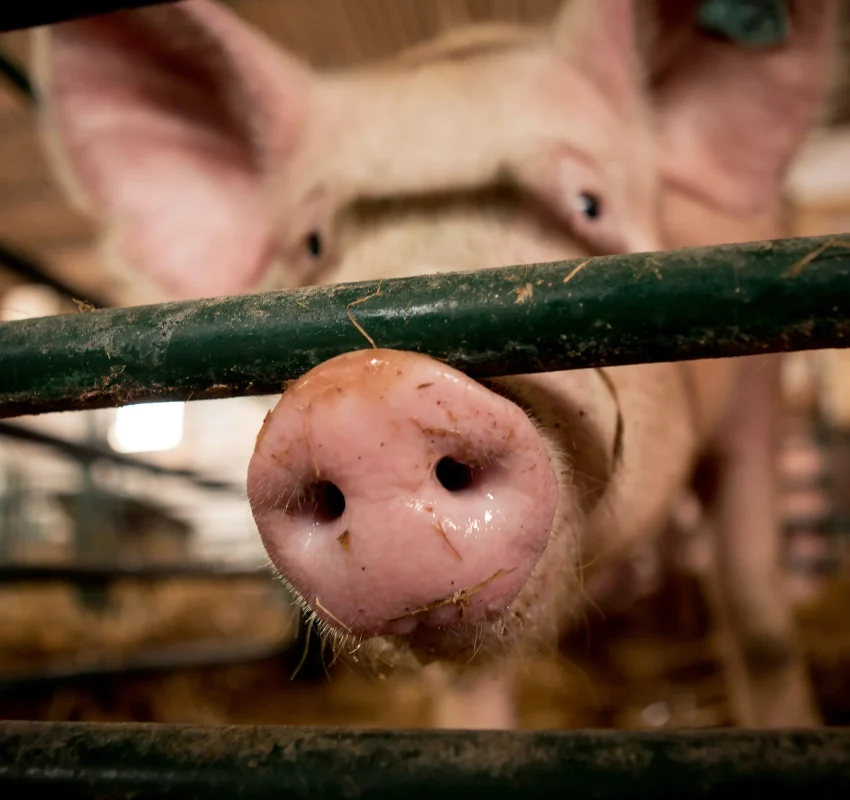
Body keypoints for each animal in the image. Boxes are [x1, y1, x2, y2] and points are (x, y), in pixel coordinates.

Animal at [32, 0, 837, 729]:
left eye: (589, 205)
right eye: (313, 245)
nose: (362, 391)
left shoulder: (757, 386)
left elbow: (753, 594)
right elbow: (468, 686)